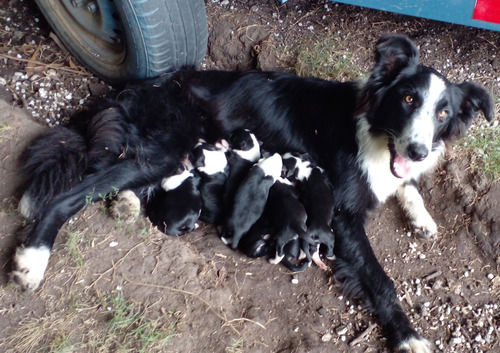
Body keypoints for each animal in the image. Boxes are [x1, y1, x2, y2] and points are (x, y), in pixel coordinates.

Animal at [11, 33, 492, 352]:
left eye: (443, 113)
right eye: (408, 99)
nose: (418, 149)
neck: (376, 131)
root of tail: (136, 88)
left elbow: (407, 184)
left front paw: (422, 215)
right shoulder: (342, 215)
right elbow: (380, 279)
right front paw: (409, 337)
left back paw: (126, 204)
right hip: (165, 147)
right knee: (69, 196)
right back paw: (31, 261)